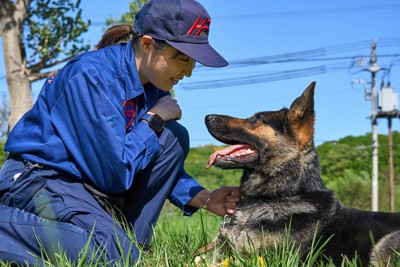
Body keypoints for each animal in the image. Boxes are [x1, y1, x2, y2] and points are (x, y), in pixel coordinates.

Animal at [205, 82, 400, 266]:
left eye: (257, 119)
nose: (207, 117)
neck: (279, 195)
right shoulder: (220, 252)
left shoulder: (261, 258)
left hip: (384, 245)